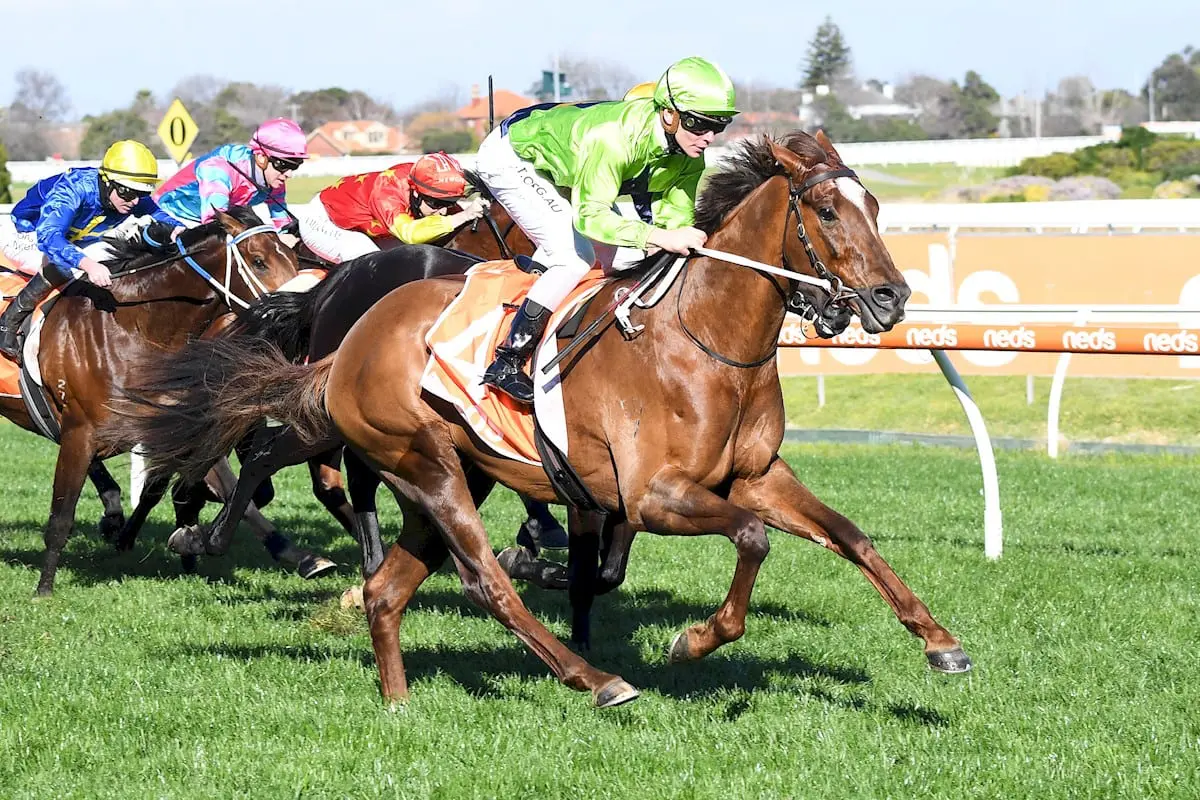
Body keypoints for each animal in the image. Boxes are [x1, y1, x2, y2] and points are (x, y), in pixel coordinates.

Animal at [0, 206, 304, 594]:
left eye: (294, 258)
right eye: (259, 261)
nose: (299, 312)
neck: (131, 327)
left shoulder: (172, 426)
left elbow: (220, 490)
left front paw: (297, 554)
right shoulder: (79, 434)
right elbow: (61, 515)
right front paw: (44, 590)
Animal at [100, 133, 964, 705]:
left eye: (875, 205)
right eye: (825, 210)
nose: (890, 298)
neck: (704, 339)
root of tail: (345, 332)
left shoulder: (753, 475)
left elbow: (850, 535)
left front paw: (942, 643)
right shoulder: (654, 496)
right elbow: (749, 540)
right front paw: (691, 640)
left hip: (453, 475)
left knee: (388, 585)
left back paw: (397, 696)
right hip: (425, 466)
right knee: (473, 576)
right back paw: (595, 678)